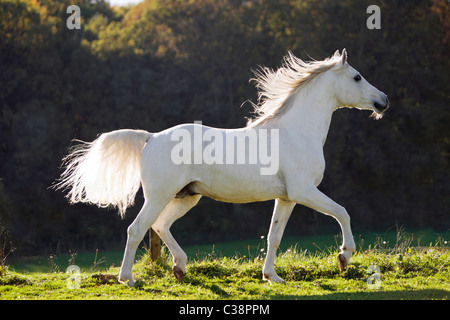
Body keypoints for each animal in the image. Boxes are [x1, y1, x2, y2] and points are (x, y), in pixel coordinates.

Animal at [55, 50, 386, 284]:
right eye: (357, 77)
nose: (383, 100)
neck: (297, 131)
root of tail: (151, 137)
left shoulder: (286, 197)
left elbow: (274, 236)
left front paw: (272, 277)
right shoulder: (304, 191)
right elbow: (343, 212)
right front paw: (344, 257)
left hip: (187, 197)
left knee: (160, 225)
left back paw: (180, 268)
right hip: (159, 196)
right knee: (137, 229)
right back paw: (128, 279)